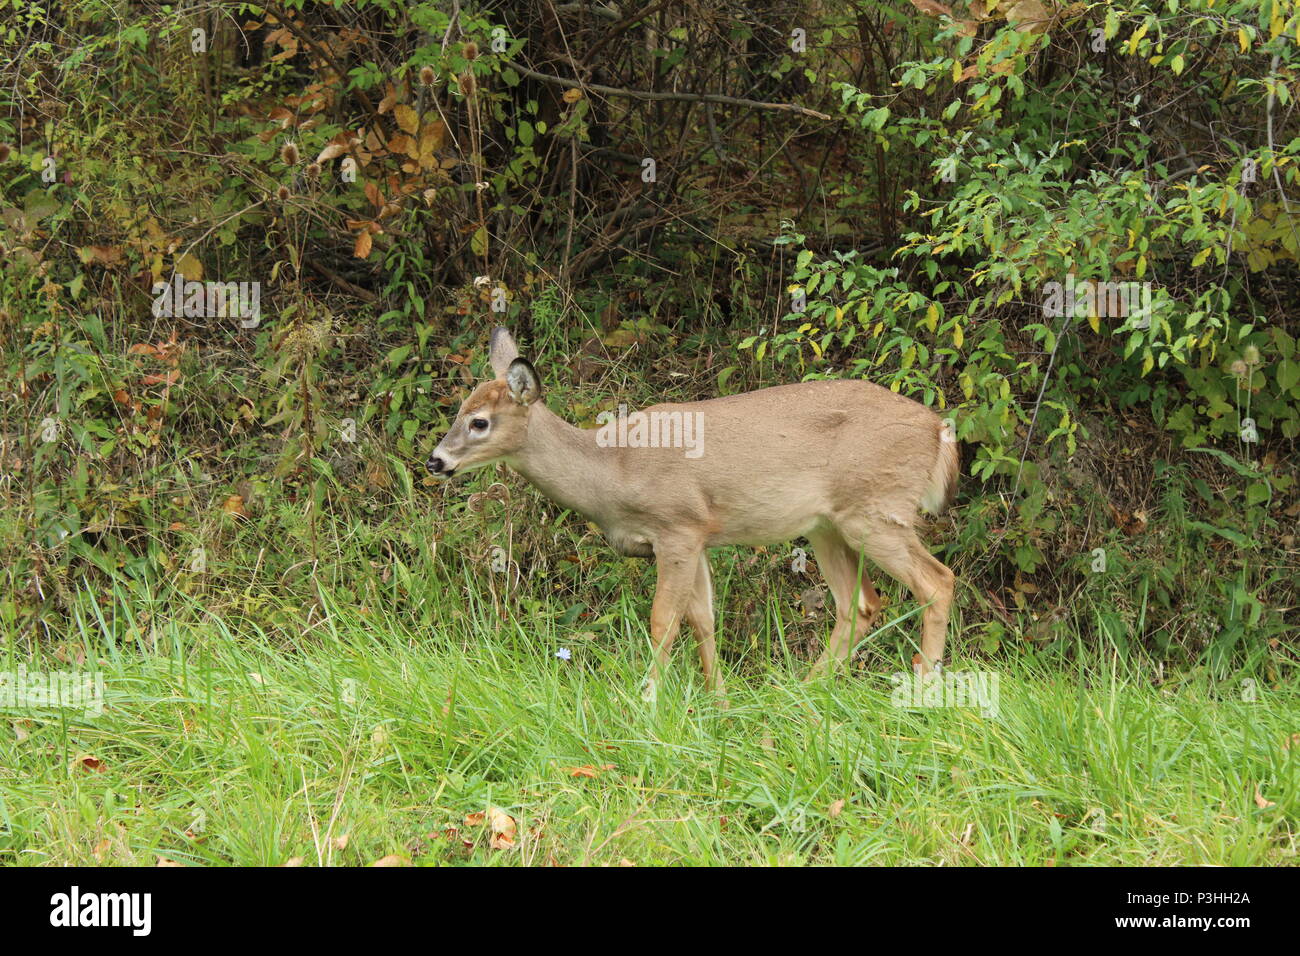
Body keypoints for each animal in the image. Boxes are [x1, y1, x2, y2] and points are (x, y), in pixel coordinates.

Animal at [426, 329, 956, 702]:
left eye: (480, 422)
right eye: (459, 410)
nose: (436, 461)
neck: (612, 469)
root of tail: (937, 429)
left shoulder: (676, 526)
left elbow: (664, 619)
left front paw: (646, 700)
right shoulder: (700, 535)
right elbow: (703, 619)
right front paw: (718, 701)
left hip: (877, 509)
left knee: (937, 581)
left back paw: (923, 691)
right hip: (827, 525)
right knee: (860, 603)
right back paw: (803, 691)